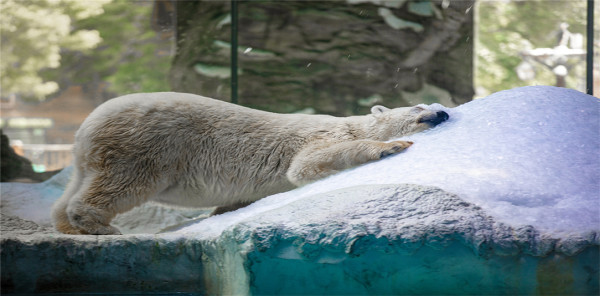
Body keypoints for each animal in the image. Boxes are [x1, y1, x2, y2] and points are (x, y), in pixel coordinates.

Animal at [51, 92, 448, 234]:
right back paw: (99, 225)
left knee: (78, 184)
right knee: (124, 184)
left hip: (96, 156)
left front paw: (223, 211)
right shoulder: (322, 135)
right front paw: (391, 146)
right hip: (146, 145)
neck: (352, 123)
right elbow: (305, 166)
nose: (442, 113)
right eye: (418, 106)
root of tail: (86, 128)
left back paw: (68, 225)